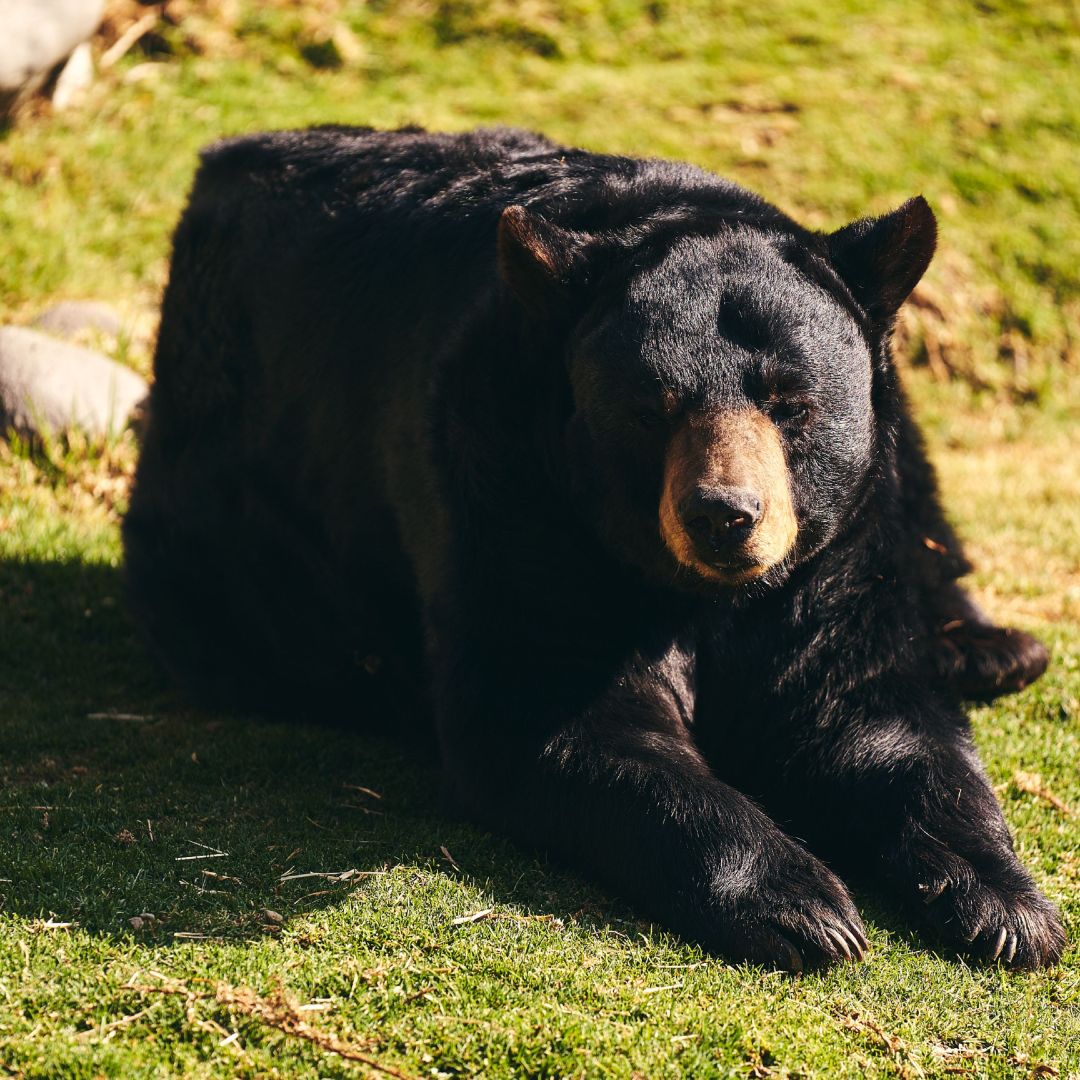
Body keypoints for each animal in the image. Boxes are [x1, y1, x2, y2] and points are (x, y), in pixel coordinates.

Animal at [123, 125, 1062, 971]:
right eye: (652, 409)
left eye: (790, 402)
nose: (726, 514)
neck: (696, 592)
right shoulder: (512, 501)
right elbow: (558, 717)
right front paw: (804, 906)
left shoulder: (829, 557)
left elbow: (866, 707)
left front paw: (1008, 905)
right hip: (222, 515)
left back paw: (990, 648)